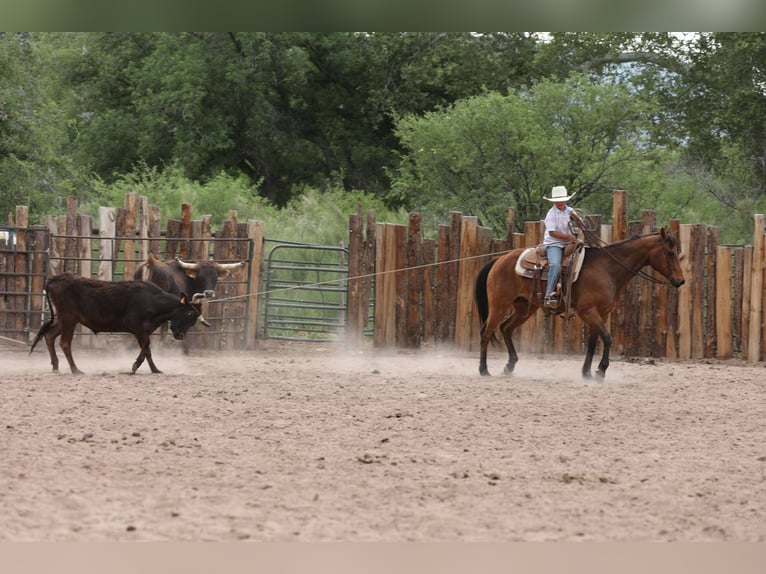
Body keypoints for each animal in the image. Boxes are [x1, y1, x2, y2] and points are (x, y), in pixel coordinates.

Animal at [474, 227, 685, 379]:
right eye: (670, 253)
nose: (680, 281)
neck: (607, 269)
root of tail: (499, 259)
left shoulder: (602, 313)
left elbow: (593, 342)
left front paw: (587, 373)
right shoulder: (588, 311)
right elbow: (607, 337)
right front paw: (600, 371)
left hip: (524, 307)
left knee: (506, 328)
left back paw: (509, 366)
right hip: (499, 305)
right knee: (486, 332)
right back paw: (484, 370)